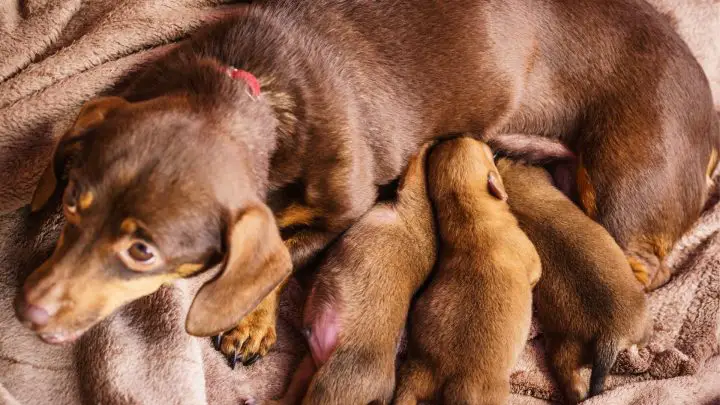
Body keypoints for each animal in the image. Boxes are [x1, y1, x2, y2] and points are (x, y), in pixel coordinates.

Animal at [14, 0, 716, 364]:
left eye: (143, 251)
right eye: (71, 205)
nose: (25, 309)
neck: (256, 90)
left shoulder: (347, 210)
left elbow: (283, 257)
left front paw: (251, 321)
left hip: (625, 192)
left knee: (640, 269)